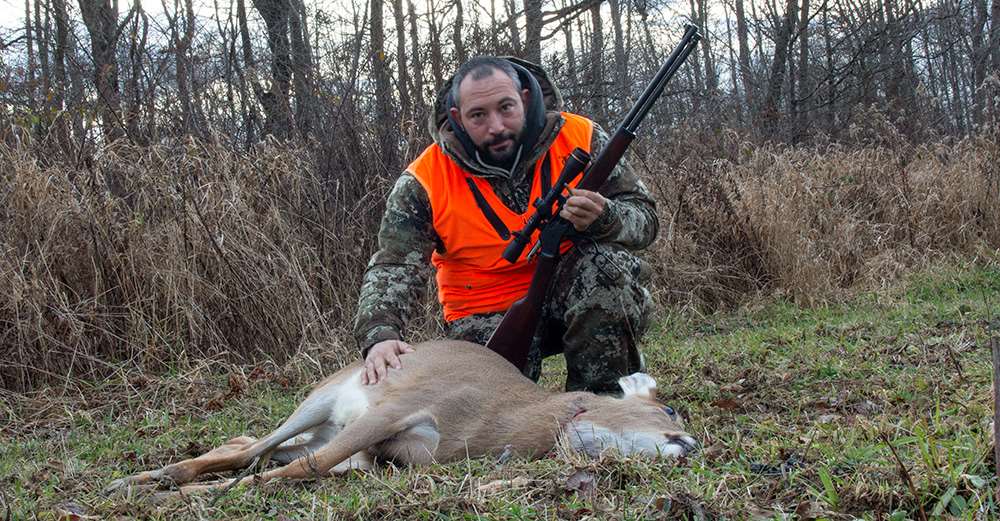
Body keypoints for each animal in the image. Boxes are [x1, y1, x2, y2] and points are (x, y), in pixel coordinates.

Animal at [107, 338, 696, 496]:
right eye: (668, 407)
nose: (689, 447)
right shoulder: (394, 410)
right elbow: (298, 471)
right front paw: (184, 499)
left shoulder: (390, 454)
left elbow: (298, 469)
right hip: (319, 403)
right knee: (255, 449)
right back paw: (146, 482)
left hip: (337, 439)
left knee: (250, 447)